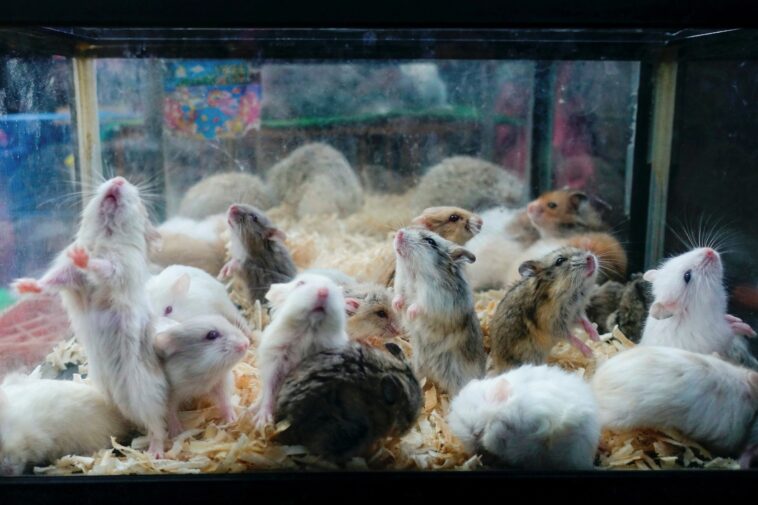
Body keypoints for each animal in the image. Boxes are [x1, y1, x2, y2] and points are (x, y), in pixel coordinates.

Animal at [12, 177, 169, 457]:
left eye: (140, 202)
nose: (118, 180)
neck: (106, 234)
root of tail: (118, 402)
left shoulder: (120, 268)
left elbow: (103, 266)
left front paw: (84, 257)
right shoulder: (68, 274)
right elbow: (51, 280)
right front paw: (22, 286)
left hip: (144, 394)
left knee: (158, 424)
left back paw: (156, 452)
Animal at [249, 273, 349, 427]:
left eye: (333, 287)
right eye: (300, 283)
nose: (324, 291)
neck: (308, 330)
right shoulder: (273, 362)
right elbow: (269, 391)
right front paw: (261, 422)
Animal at [392, 227, 485, 395]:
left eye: (430, 241)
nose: (399, 233)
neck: (413, 273)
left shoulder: (435, 298)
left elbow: (419, 305)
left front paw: (410, 312)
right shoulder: (400, 285)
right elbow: (398, 297)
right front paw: (396, 306)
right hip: (418, 364)